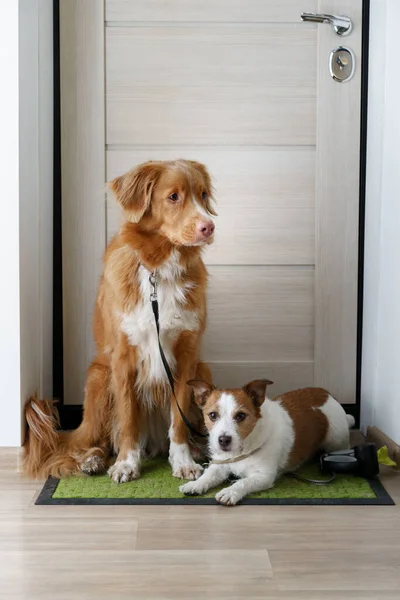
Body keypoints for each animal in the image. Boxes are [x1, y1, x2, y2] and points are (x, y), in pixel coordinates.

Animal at [23, 159, 217, 482]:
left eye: (203, 195)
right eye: (173, 197)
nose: (209, 227)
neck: (158, 269)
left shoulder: (187, 357)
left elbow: (178, 422)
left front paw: (183, 462)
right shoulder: (123, 358)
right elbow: (127, 419)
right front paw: (127, 463)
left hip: (204, 369)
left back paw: (198, 450)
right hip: (99, 378)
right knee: (97, 441)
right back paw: (93, 460)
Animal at [180, 380, 354, 506]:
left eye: (241, 416)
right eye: (212, 415)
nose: (223, 440)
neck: (242, 450)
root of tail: (327, 394)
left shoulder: (263, 476)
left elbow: (243, 481)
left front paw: (230, 491)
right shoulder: (220, 465)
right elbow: (208, 475)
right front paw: (195, 484)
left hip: (336, 441)